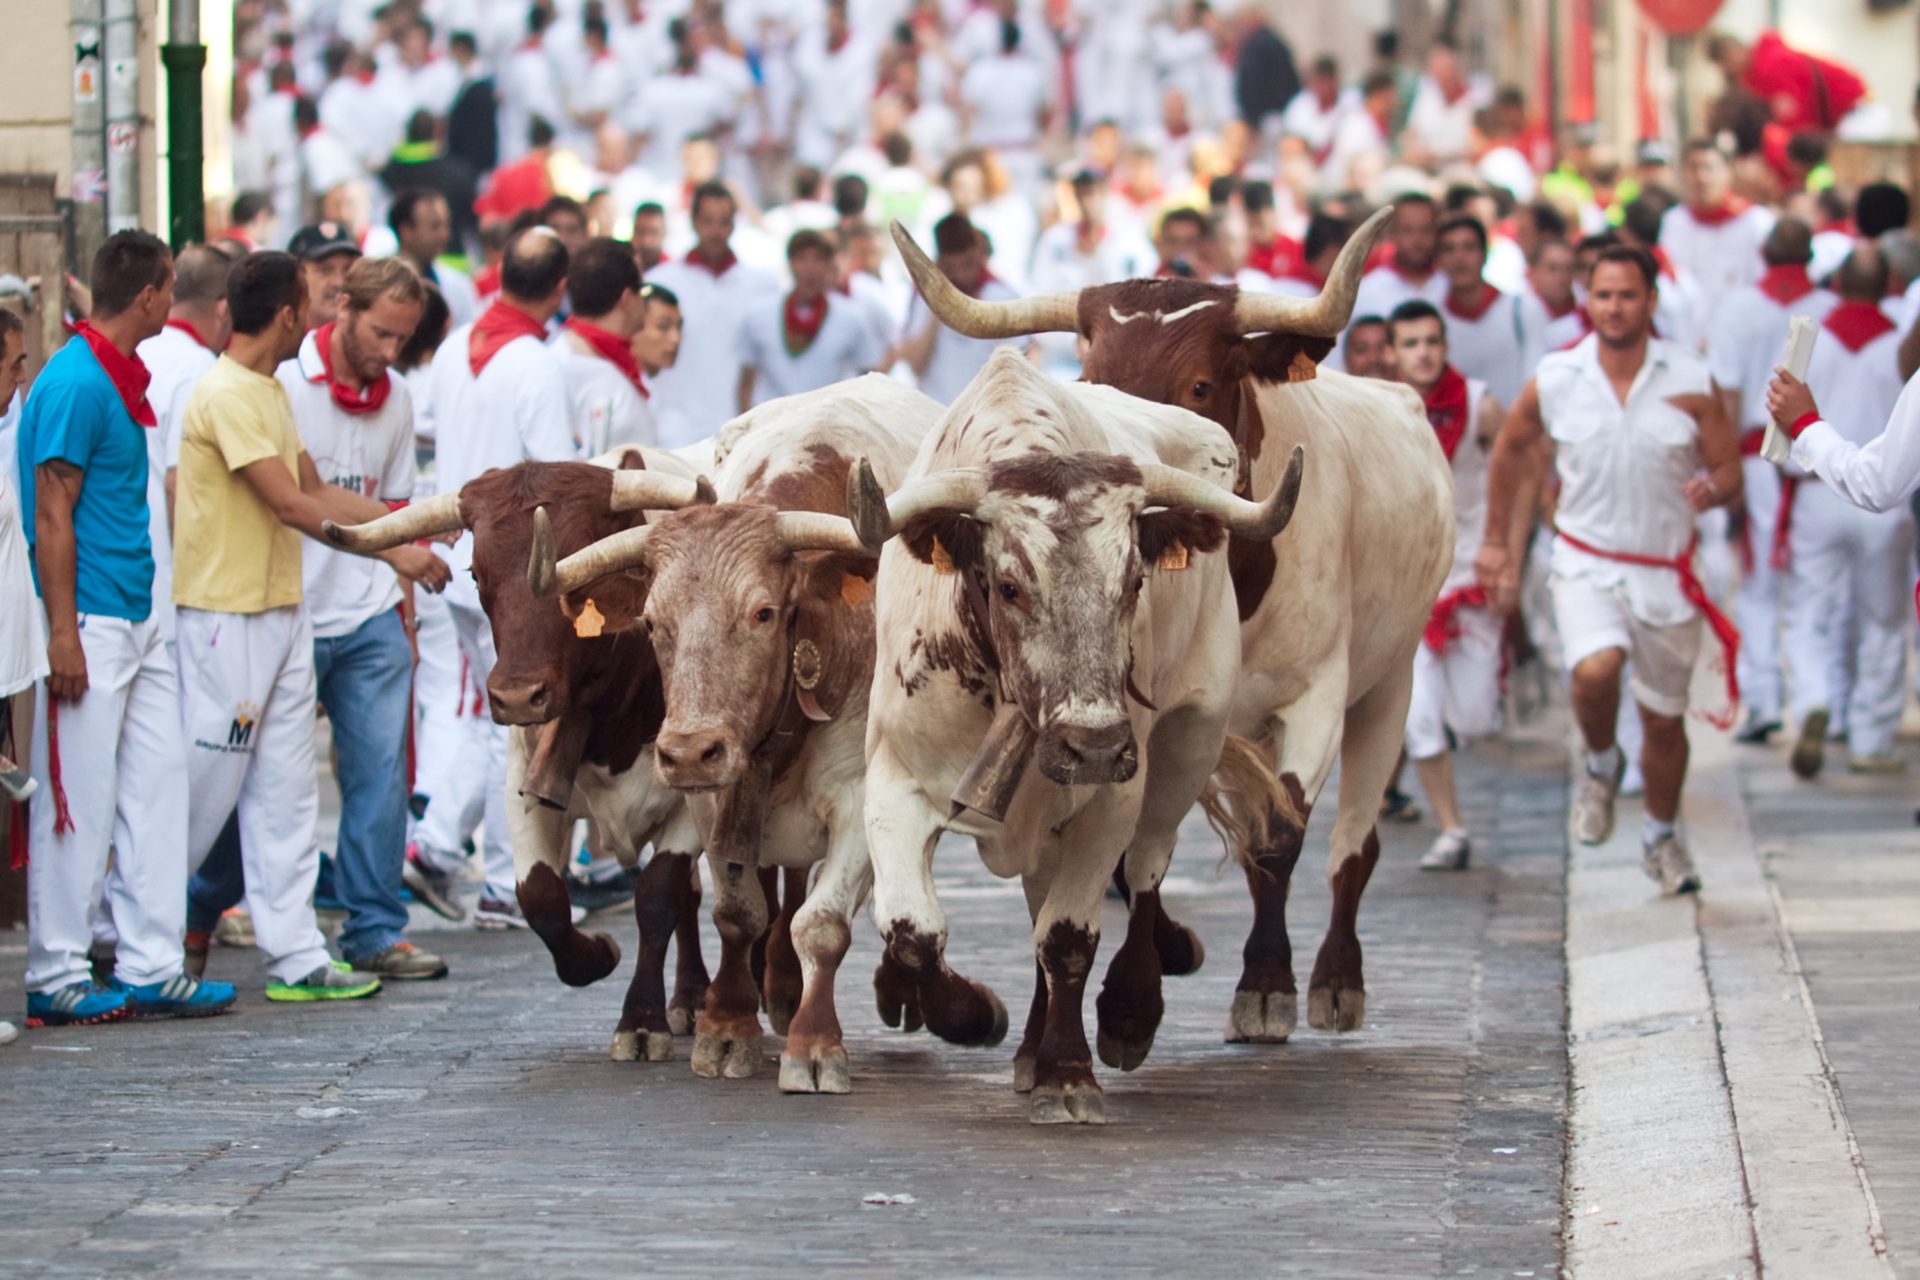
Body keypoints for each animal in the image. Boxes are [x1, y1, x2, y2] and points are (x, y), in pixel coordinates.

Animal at [323, 448, 716, 1062]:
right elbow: (541, 898)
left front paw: (641, 1019)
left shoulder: (692, 797)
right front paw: (596, 953)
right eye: (475, 575)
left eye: (582, 578)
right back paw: (692, 995)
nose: (514, 695)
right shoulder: (522, 787)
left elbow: (657, 895)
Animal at [533, 377, 943, 1092]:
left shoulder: (862, 797)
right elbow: (736, 910)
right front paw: (726, 1027)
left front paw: (814, 1043)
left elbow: (823, 924)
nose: (688, 752)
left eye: (763, 613)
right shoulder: (709, 800)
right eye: (650, 621)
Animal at [848, 350, 1303, 1123]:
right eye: (1008, 586)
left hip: (1188, 742)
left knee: (1144, 872)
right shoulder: (895, 785)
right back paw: (1028, 1046)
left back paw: (1126, 1014)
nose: (1091, 746)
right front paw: (971, 1015)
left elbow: (1067, 939)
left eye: (1134, 582)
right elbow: (913, 930)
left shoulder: (1110, 800)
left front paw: (1067, 1072)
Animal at [890, 211, 1453, 1044]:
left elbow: (1277, 837)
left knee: (1354, 840)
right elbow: (1128, 857)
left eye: (1200, 385)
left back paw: (1335, 977)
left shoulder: (1315, 695)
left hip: (1393, 683)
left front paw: (1263, 987)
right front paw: (1166, 956)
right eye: (1090, 382)